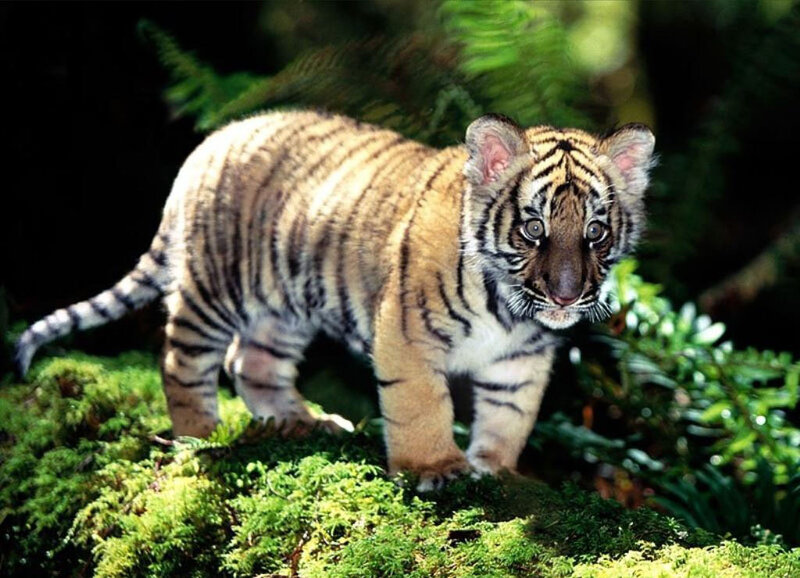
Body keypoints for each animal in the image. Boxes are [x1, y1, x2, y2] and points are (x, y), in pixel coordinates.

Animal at [15, 110, 654, 489]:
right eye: (533, 229)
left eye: (595, 231)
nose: (567, 294)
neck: (510, 309)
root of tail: (211, 141)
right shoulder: (406, 336)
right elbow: (422, 406)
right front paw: (434, 468)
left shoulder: (521, 360)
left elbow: (509, 415)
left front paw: (494, 469)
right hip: (216, 288)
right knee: (182, 359)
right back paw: (201, 434)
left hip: (284, 306)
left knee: (250, 362)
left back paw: (301, 422)